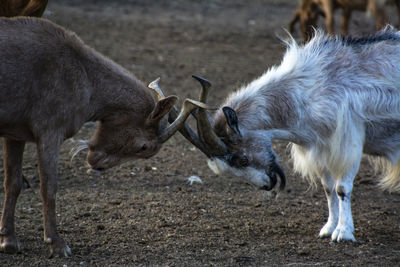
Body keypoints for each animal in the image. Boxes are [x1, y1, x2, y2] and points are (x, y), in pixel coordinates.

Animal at [0, 16, 205, 258]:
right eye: (144, 147)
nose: (96, 163)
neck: (88, 89)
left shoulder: (15, 131)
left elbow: (13, 182)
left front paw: (9, 241)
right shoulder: (49, 127)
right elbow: (48, 187)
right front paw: (57, 244)